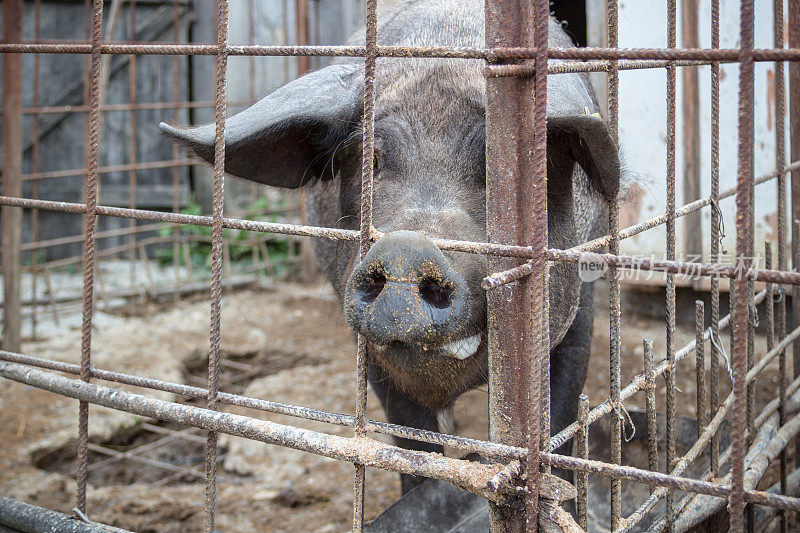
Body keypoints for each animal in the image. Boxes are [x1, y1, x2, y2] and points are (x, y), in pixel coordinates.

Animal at [161, 0, 620, 492]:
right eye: (374, 161)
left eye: (496, 167)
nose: (408, 248)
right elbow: (410, 437)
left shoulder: (582, 297)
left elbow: (559, 413)